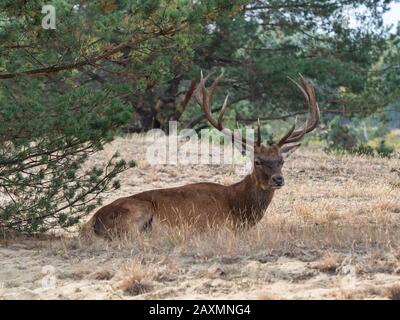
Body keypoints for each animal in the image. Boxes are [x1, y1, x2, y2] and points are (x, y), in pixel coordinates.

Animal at [86, 72, 320, 238]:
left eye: (281, 161)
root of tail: (91, 223)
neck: (238, 206)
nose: (278, 179)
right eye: (258, 161)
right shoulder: (218, 225)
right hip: (138, 211)